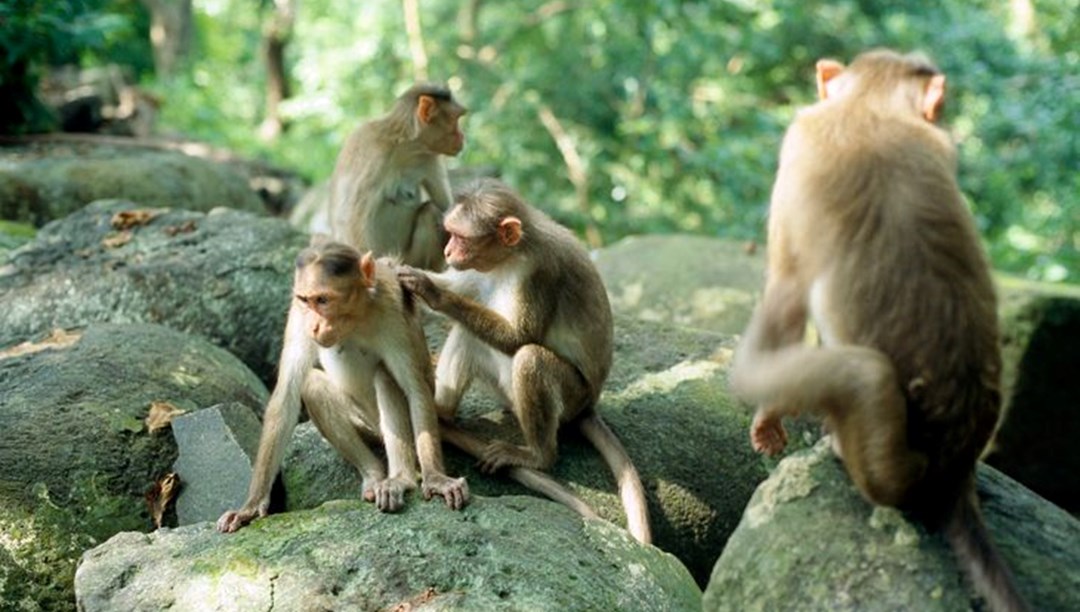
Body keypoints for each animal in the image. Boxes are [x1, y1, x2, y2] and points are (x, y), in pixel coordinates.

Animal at [218, 241, 468, 533]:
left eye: (323, 300)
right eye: (306, 300)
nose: (315, 326)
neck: (355, 317)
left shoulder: (392, 310)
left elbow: (416, 390)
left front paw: (436, 478)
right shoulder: (298, 315)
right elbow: (286, 397)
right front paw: (251, 505)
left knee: (385, 375)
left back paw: (401, 479)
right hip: (365, 424)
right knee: (312, 385)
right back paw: (374, 477)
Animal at [326, 82, 466, 270]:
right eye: (455, 119)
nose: (462, 137)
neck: (405, 145)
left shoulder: (429, 157)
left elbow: (446, 206)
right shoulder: (375, 155)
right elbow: (350, 218)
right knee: (430, 211)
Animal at [397, 178, 648, 546]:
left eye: (461, 237)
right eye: (450, 234)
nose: (448, 252)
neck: (510, 256)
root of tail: (589, 404)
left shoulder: (539, 271)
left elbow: (519, 337)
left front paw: (431, 291)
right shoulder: (481, 271)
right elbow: (465, 286)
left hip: (571, 397)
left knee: (529, 357)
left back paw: (537, 455)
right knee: (470, 335)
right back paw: (439, 410)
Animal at [734, 50, 1028, 608]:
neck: (870, 106)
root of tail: (953, 473)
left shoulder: (798, 140)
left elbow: (786, 290)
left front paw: (768, 416)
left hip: (887, 463)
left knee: (862, 375)